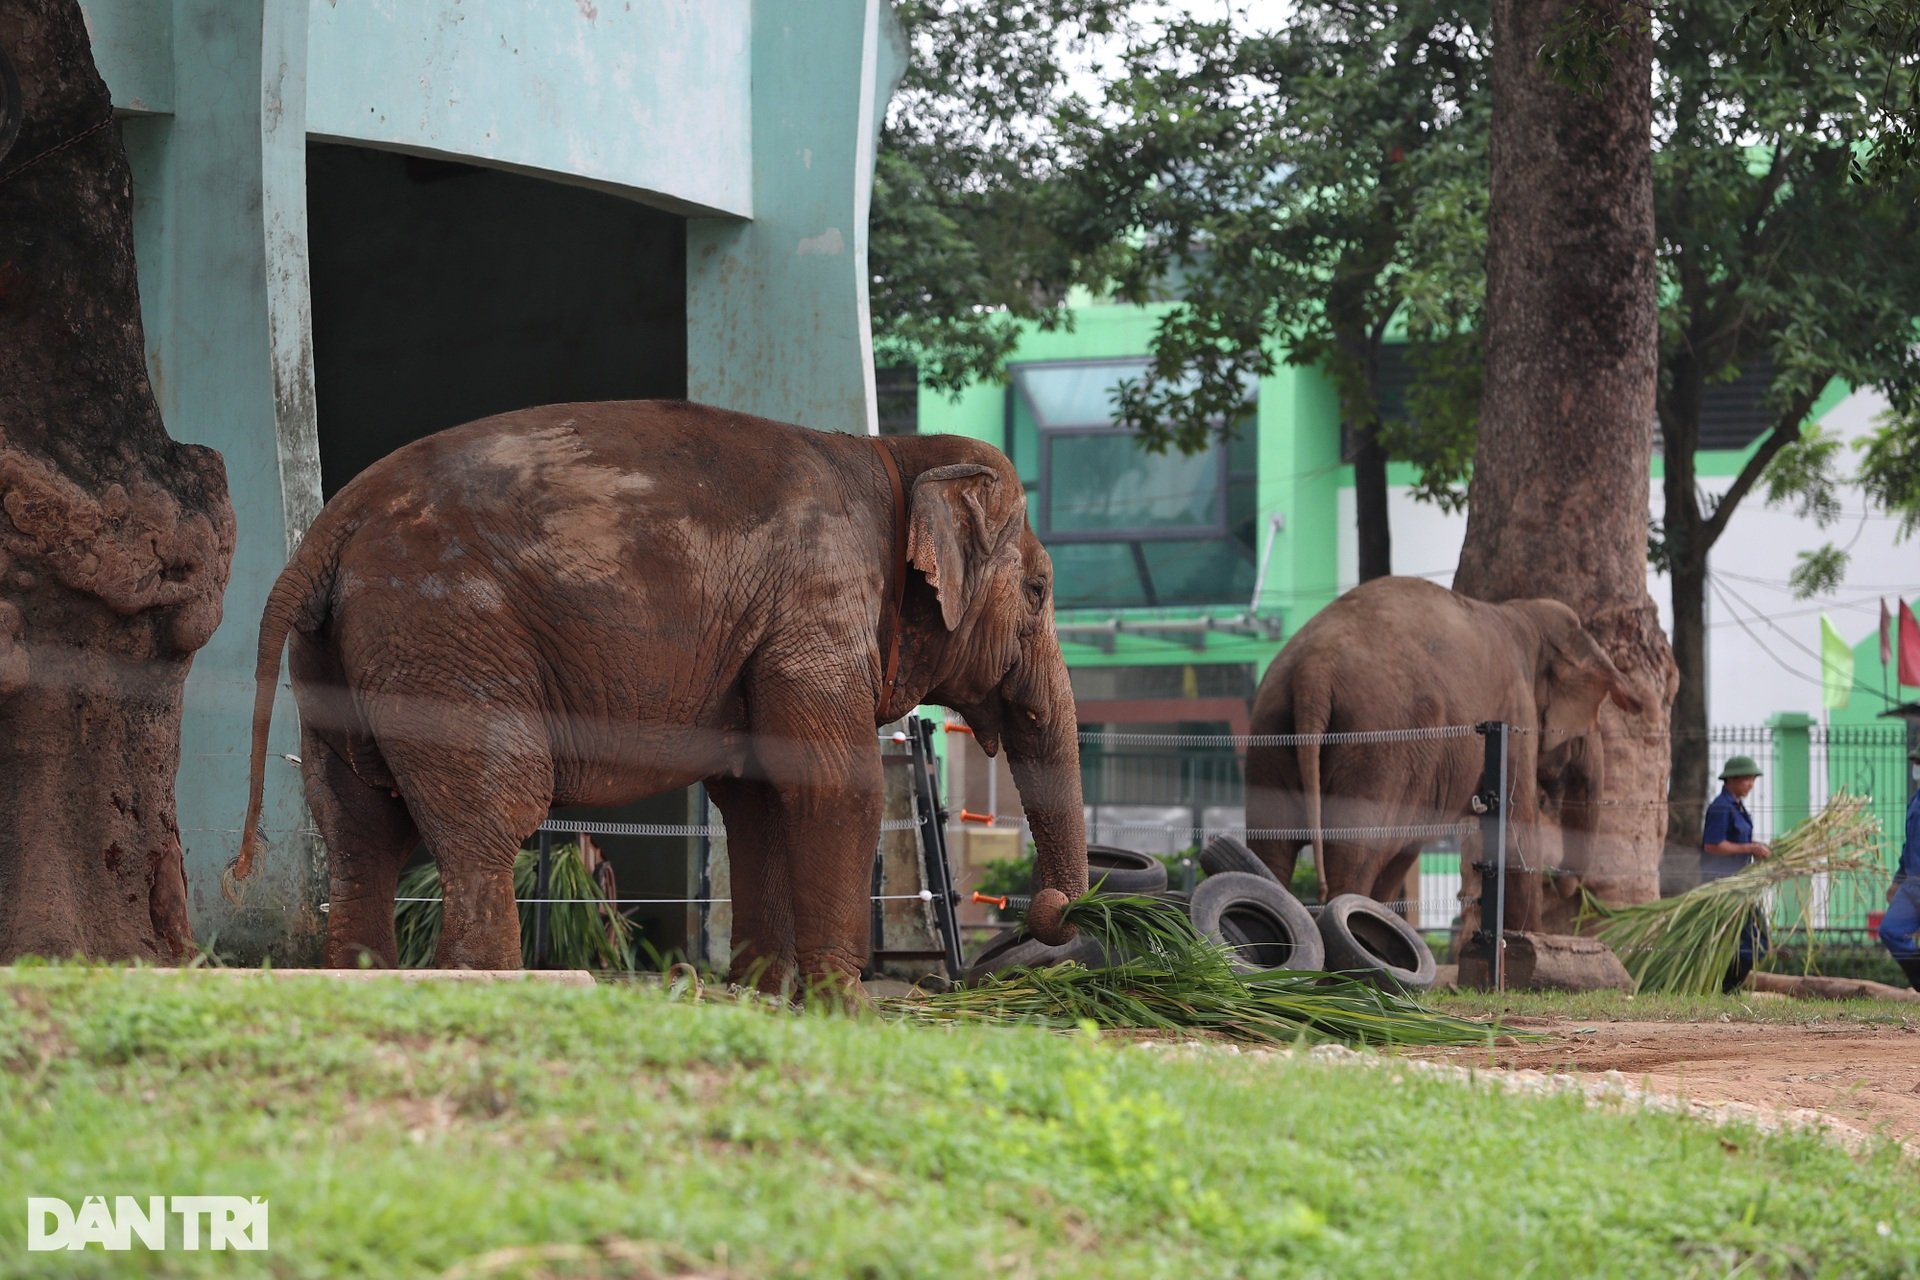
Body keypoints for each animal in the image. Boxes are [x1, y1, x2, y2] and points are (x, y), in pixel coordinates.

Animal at [232, 397, 1090, 990]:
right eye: (1042, 591)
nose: (1054, 914)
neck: (895, 455)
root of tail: (325, 530)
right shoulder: (818, 608)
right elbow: (833, 787)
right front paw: (838, 1012)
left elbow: (756, 797)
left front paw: (762, 998)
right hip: (444, 634)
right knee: (491, 814)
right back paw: (488, 983)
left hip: (341, 656)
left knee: (358, 825)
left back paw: (364, 976)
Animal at [1236, 579, 1643, 932]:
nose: (1564, 885)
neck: (1521, 615)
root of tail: (1314, 672)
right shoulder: (1515, 713)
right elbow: (1517, 825)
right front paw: (1529, 946)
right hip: (1378, 747)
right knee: (1352, 855)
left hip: (1271, 729)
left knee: (1272, 848)